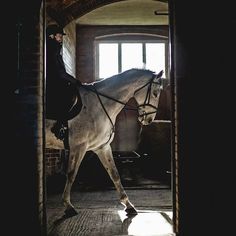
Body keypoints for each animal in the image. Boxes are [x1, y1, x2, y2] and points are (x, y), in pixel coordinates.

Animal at [46, 68, 164, 216]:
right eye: (155, 93)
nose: (149, 119)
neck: (98, 105)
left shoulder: (102, 147)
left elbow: (114, 174)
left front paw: (128, 205)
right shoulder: (78, 146)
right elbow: (71, 174)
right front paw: (68, 206)